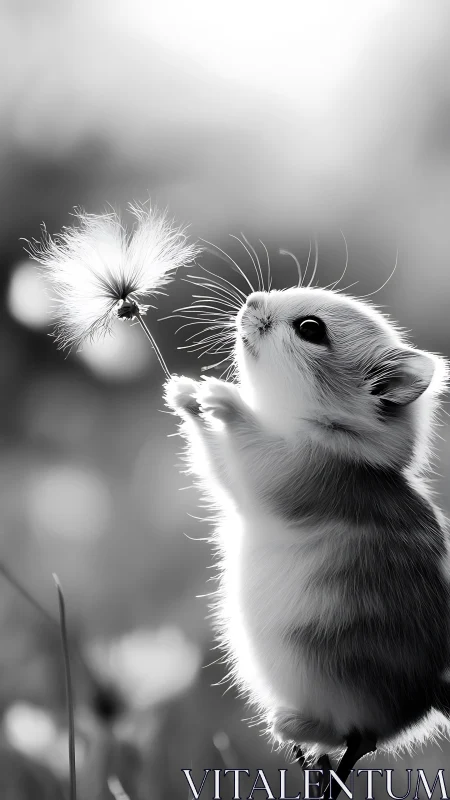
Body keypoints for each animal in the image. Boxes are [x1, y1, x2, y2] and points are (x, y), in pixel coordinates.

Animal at [165, 285, 450, 758]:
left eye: (311, 329)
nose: (251, 302)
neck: (340, 434)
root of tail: (430, 695)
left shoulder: (287, 469)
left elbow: (243, 448)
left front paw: (223, 397)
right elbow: (213, 454)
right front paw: (185, 392)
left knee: (356, 735)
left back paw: (288, 724)